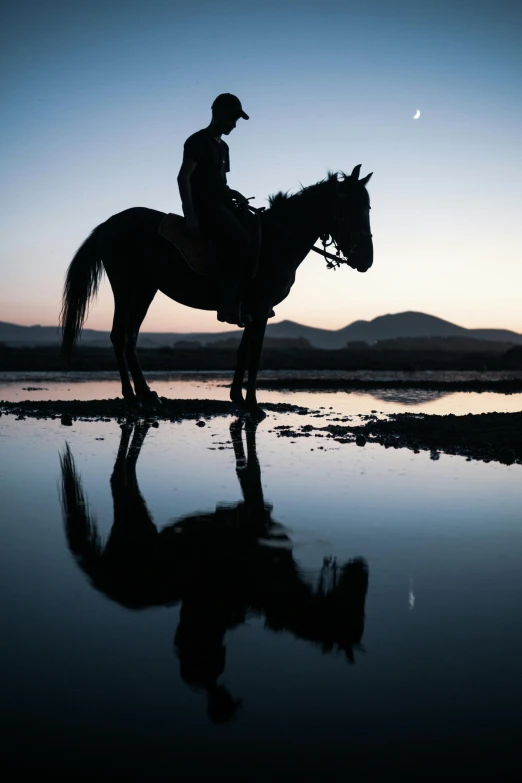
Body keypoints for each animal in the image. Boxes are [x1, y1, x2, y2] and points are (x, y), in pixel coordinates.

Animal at [60, 165, 370, 416]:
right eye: (353, 209)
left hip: (145, 290)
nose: (367, 259)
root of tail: (107, 225)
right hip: (128, 287)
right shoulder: (260, 308)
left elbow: (243, 351)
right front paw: (253, 404)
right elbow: (255, 354)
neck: (278, 240)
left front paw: (238, 398)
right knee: (119, 336)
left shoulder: (253, 310)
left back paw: (147, 395)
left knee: (130, 338)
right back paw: (132, 398)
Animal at [60, 420, 366, 724]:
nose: (363, 568)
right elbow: (250, 472)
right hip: (134, 520)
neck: (279, 591)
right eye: (354, 608)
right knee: (119, 478)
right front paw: (246, 420)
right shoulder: (256, 516)